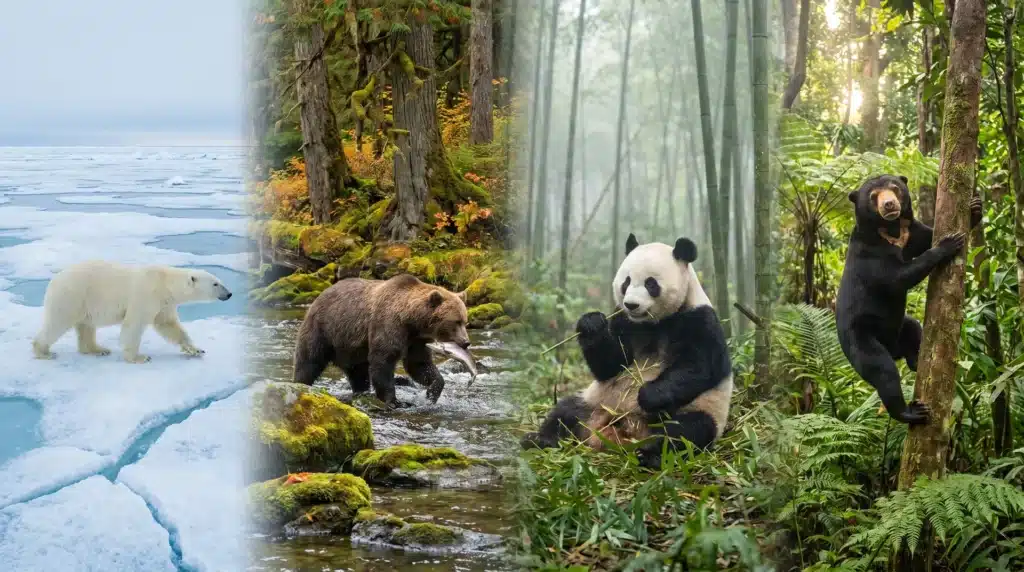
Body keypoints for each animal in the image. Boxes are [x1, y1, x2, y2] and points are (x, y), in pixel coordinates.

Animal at [32, 260, 233, 363]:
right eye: (216, 284)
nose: (229, 294)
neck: (165, 283)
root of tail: (54, 280)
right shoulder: (146, 296)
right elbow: (134, 325)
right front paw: (139, 357)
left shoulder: (164, 304)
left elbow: (169, 325)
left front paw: (196, 349)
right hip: (72, 296)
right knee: (58, 322)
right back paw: (44, 352)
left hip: (85, 303)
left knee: (86, 326)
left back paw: (98, 349)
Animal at [292, 274, 470, 407]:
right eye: (456, 321)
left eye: (465, 321)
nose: (466, 342)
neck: (410, 320)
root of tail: (319, 296)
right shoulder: (387, 324)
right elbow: (383, 361)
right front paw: (395, 401)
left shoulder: (417, 340)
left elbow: (419, 365)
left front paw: (431, 393)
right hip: (323, 330)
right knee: (309, 361)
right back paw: (300, 384)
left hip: (351, 347)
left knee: (358, 371)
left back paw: (361, 391)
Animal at [520, 233, 733, 468]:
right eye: (626, 281)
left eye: (651, 284)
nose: (631, 304)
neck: (653, 323)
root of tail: (621, 432)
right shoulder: (623, 320)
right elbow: (610, 365)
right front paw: (591, 323)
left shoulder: (699, 320)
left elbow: (698, 367)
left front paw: (649, 395)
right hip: (595, 402)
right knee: (565, 411)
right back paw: (540, 439)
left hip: (699, 410)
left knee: (685, 432)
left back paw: (650, 456)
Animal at [836, 174, 981, 425]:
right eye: (873, 196)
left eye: (895, 189)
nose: (889, 205)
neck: (891, 230)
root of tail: (893, 348)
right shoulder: (870, 252)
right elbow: (898, 277)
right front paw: (947, 244)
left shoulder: (911, 233)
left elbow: (928, 236)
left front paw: (975, 207)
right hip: (860, 338)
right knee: (882, 370)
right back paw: (910, 412)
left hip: (900, 328)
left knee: (913, 328)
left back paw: (915, 360)